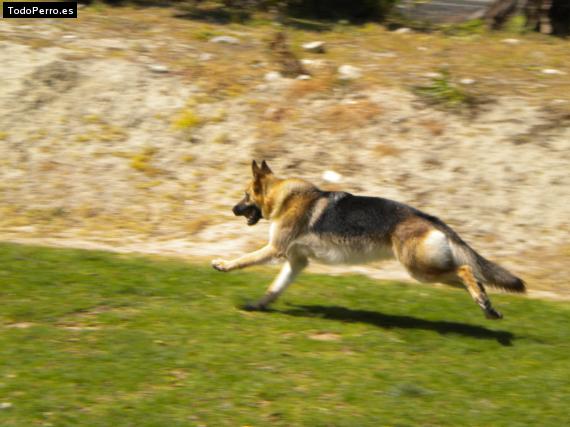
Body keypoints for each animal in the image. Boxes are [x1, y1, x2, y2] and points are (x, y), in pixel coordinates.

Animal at [212, 162, 524, 320]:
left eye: (245, 195)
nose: (232, 209)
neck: (284, 197)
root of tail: (430, 218)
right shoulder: (296, 262)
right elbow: (275, 287)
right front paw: (259, 305)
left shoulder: (274, 250)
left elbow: (244, 259)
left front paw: (224, 264)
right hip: (429, 272)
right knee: (474, 278)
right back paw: (486, 305)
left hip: (421, 271)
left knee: (465, 270)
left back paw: (482, 301)